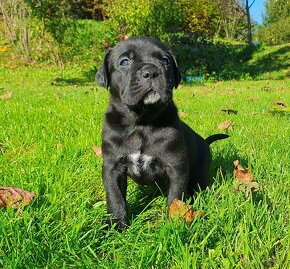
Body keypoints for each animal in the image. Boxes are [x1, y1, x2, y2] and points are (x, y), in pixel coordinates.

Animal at [96, 36, 228, 227]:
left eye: (165, 61)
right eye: (125, 62)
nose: (151, 72)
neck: (141, 122)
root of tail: (204, 141)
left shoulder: (176, 166)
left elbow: (175, 196)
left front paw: (175, 221)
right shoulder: (112, 167)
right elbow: (115, 197)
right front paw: (116, 225)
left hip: (200, 173)